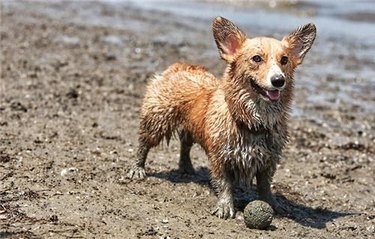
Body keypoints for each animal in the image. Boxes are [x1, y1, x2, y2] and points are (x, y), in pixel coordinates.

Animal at [129, 16, 318, 218]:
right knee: (144, 143)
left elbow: (265, 185)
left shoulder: (269, 160)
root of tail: (180, 66)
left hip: (191, 126)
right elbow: (224, 183)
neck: (254, 119)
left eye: (284, 60)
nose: (278, 80)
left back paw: (187, 168)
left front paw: (272, 204)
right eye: (257, 58)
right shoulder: (220, 158)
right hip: (157, 120)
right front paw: (225, 207)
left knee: (185, 144)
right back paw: (137, 169)